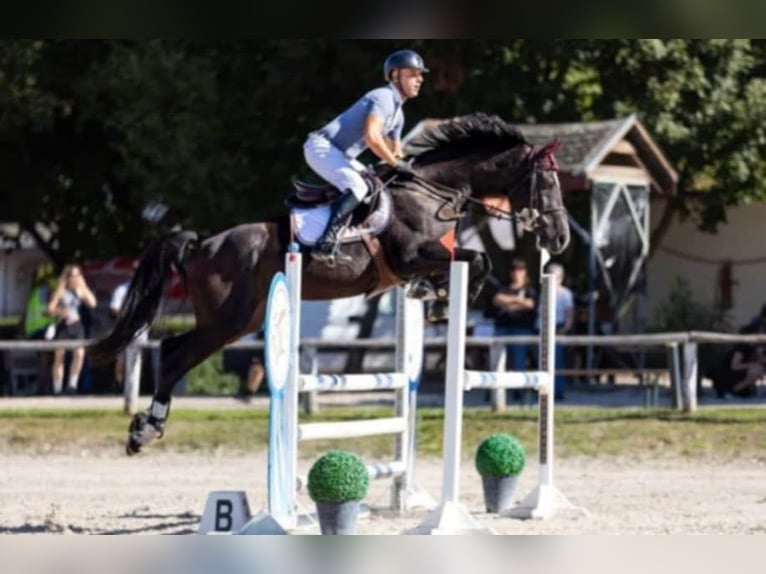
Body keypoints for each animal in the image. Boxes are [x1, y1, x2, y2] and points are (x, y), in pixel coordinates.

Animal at [88, 112, 570, 455]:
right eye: (546, 182)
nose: (560, 238)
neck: (433, 191)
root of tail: (201, 244)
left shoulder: (424, 259)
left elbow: (467, 263)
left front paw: (434, 296)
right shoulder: (412, 256)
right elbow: (480, 259)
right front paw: (448, 300)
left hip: (244, 320)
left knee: (174, 352)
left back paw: (146, 427)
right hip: (227, 320)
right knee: (173, 354)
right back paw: (144, 430)